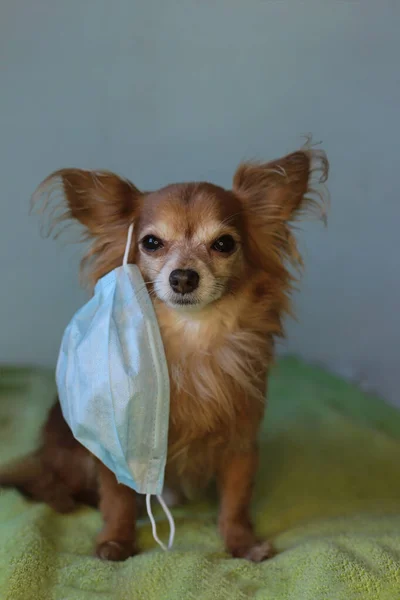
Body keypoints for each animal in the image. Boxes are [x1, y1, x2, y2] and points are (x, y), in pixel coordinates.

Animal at [0, 145, 328, 564]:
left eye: (224, 244)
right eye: (152, 243)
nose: (183, 276)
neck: (190, 339)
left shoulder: (240, 443)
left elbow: (236, 502)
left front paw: (241, 542)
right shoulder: (116, 446)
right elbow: (117, 499)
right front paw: (116, 541)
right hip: (69, 450)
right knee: (49, 482)